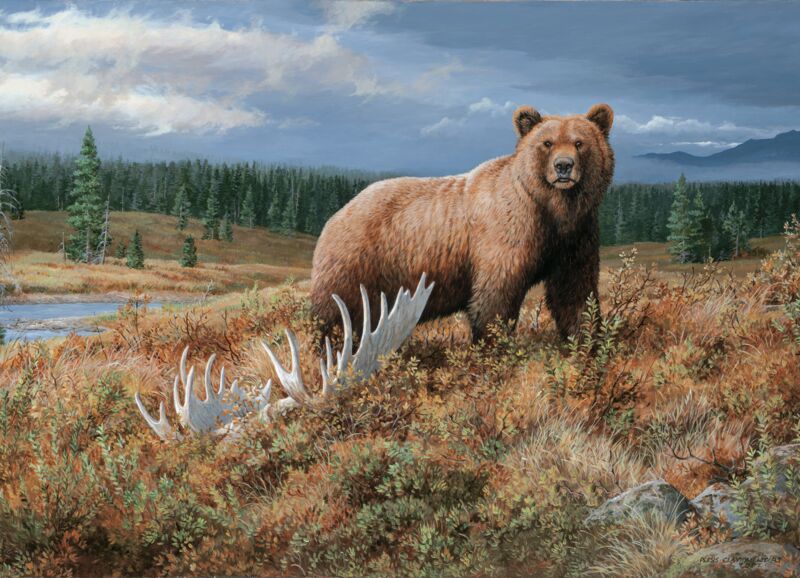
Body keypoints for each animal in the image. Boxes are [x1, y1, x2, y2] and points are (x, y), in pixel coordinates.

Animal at [310, 103, 615, 342]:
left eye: (579, 143)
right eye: (547, 143)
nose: (563, 166)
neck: (553, 209)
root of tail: (338, 213)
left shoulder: (576, 237)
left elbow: (574, 290)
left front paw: (585, 338)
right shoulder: (507, 235)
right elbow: (495, 297)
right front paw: (493, 345)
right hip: (358, 260)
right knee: (334, 311)